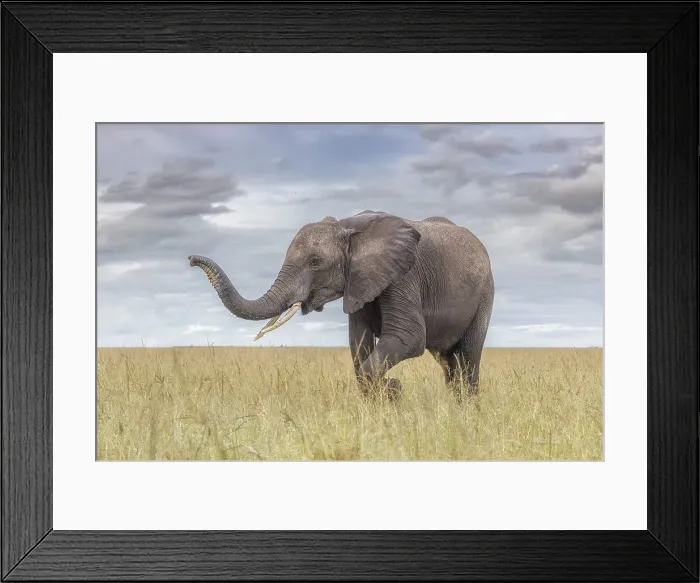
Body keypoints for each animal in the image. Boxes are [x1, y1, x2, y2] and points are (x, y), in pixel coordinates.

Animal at [188, 210, 494, 401]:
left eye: (315, 262)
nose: (191, 259)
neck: (349, 226)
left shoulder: (403, 274)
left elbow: (409, 337)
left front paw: (393, 389)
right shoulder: (359, 281)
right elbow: (358, 344)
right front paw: (387, 395)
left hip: (485, 294)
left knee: (468, 358)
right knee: (448, 363)